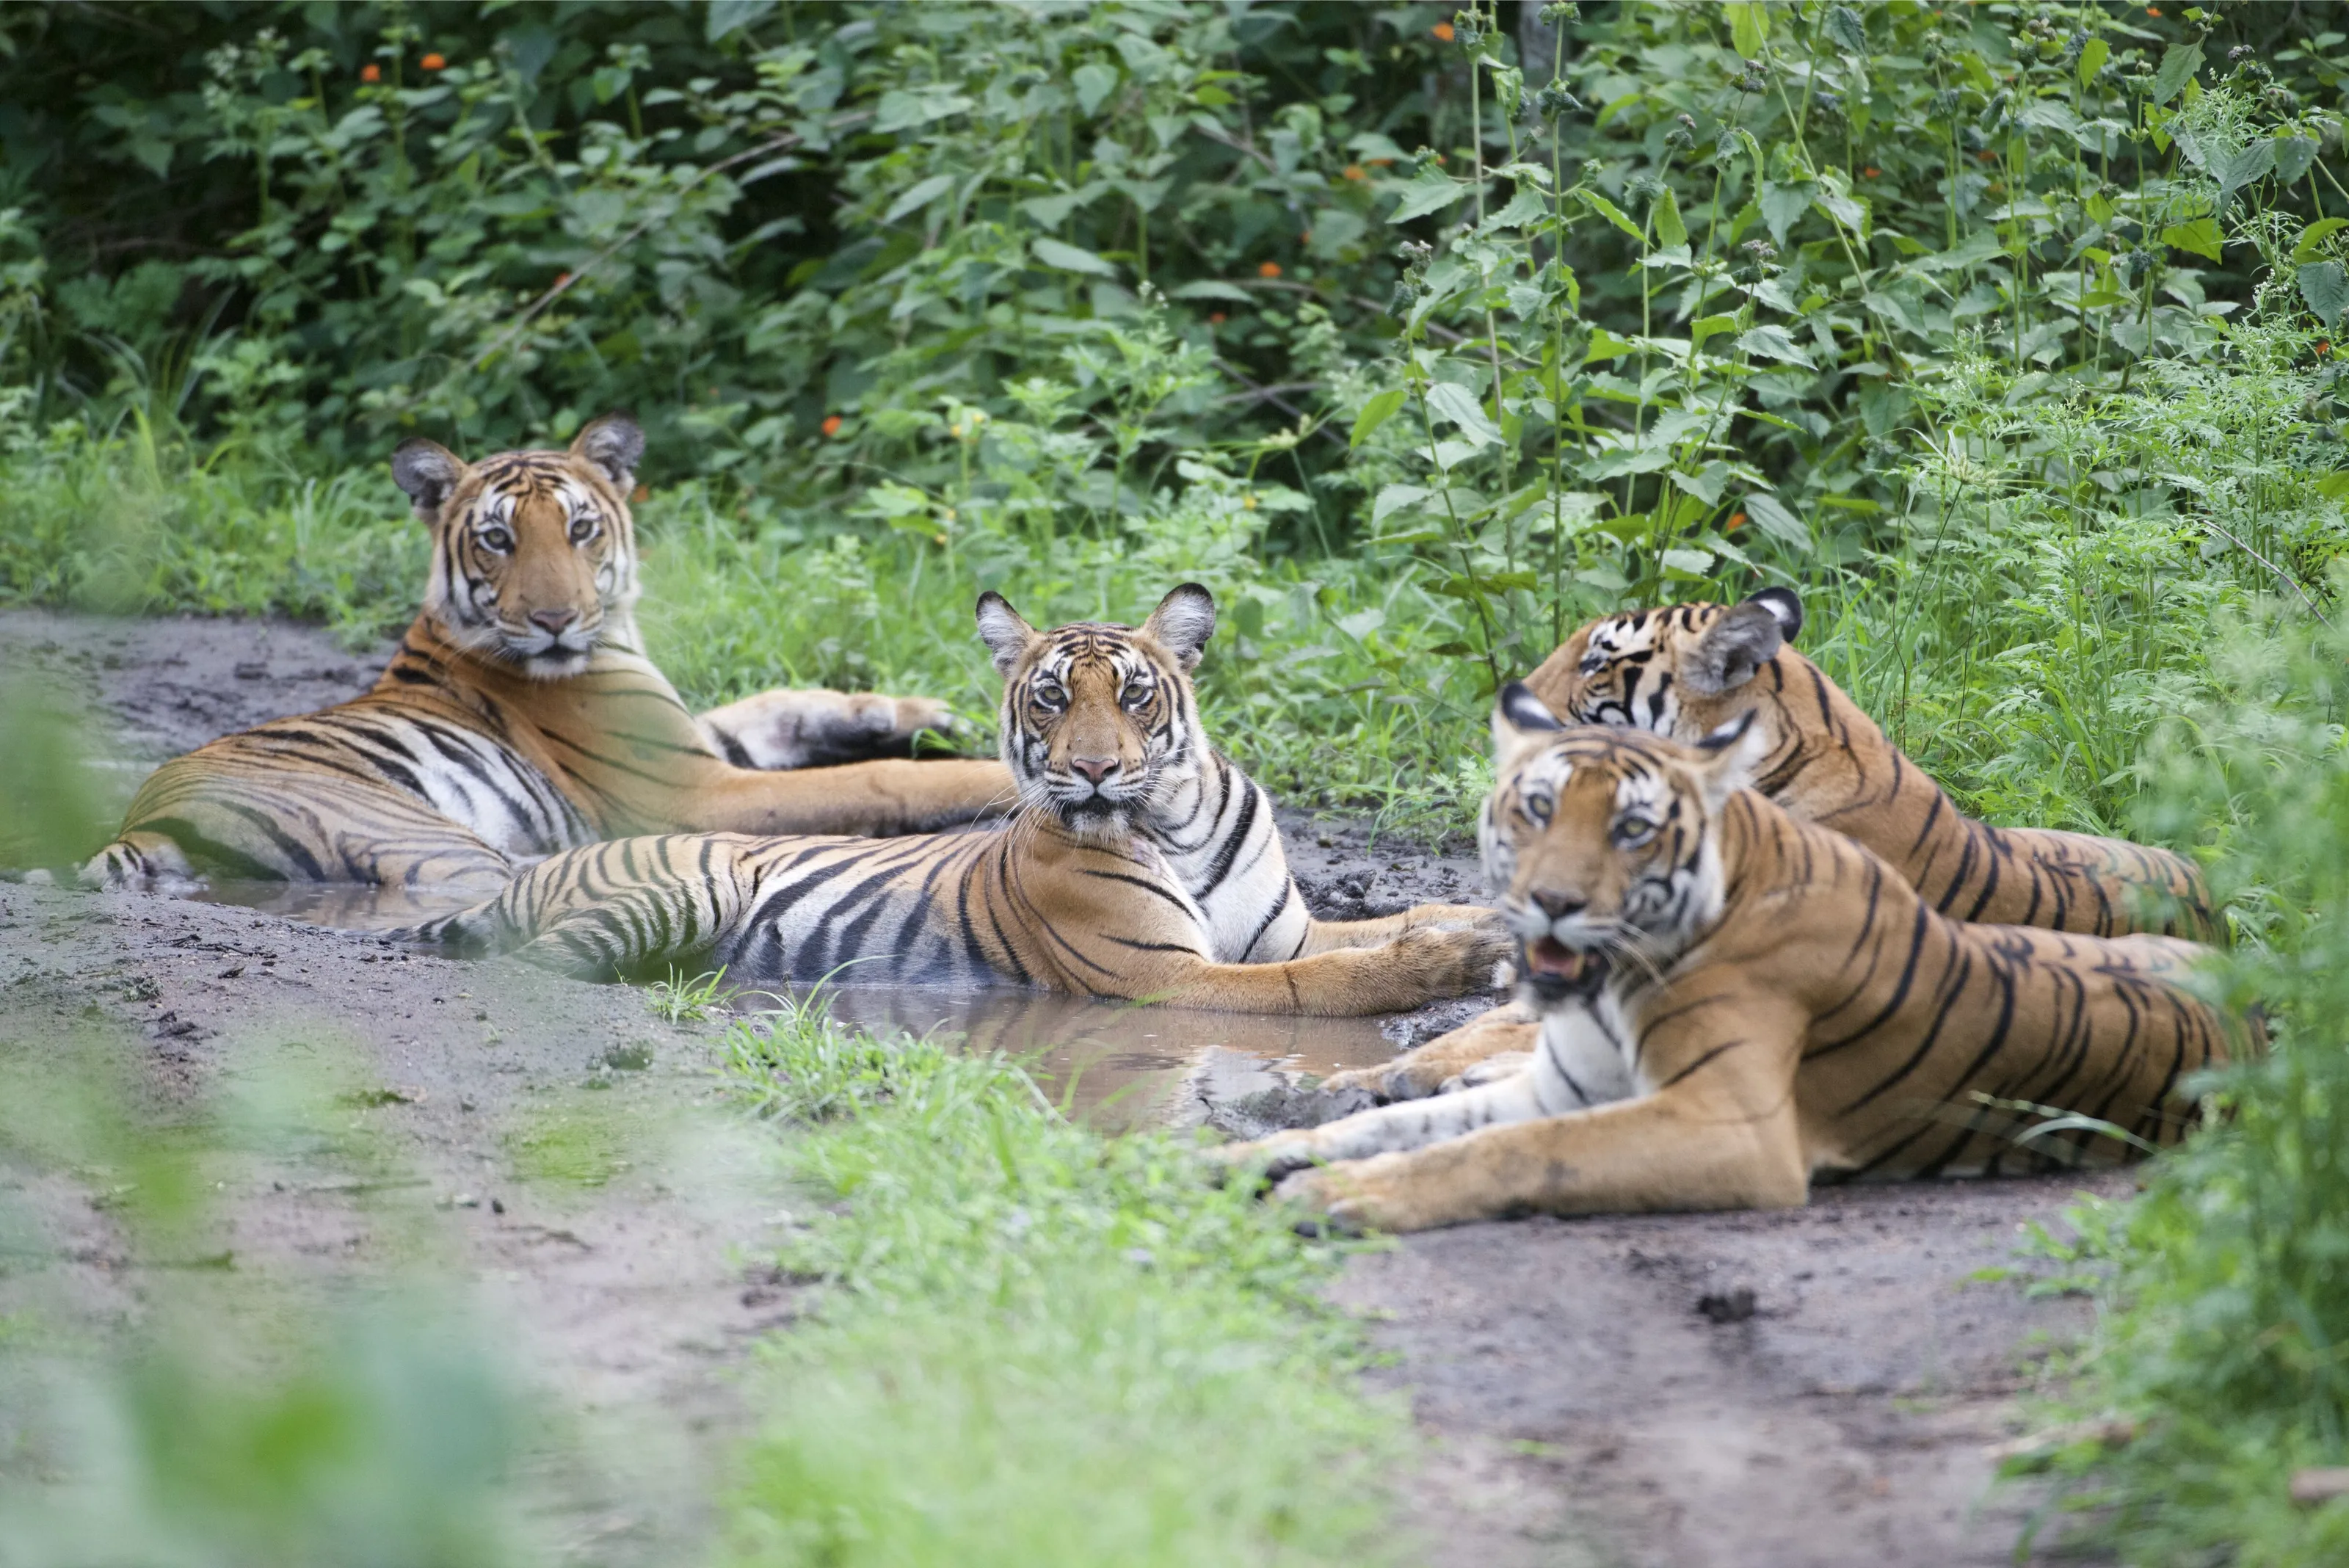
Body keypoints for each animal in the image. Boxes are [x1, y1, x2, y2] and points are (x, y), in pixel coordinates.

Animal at [82, 415, 1011, 896]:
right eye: (496, 539)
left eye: (580, 527)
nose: (558, 618)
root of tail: (138, 821)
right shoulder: (691, 786)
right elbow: (880, 783)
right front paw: (978, 770)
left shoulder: (698, 739)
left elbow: (791, 701)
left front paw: (926, 715)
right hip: (417, 830)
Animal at [392, 584, 1513, 1016]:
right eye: (1052, 698)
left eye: (1133, 694)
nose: (1093, 770)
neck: (1176, 822)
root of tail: (545, 865)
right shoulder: (1169, 975)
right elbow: (1323, 981)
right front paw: (1445, 965)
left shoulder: (1281, 930)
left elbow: (1392, 918)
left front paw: (1486, 923)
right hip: (681, 888)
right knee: (535, 966)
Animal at [1218, 685, 2253, 1232]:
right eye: (1536, 808)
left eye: (1633, 829)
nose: (1550, 902)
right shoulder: (1561, 1085)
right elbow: (1413, 1123)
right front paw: (1266, 1149)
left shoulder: (1727, 1127)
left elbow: (1507, 1153)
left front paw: (1334, 1195)